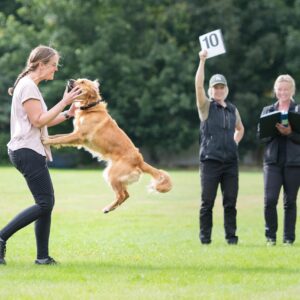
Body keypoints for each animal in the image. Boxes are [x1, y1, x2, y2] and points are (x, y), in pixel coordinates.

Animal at [43, 78, 172, 212]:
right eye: (77, 80)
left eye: (82, 82)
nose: (70, 80)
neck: (89, 108)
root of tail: (140, 161)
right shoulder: (75, 134)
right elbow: (57, 136)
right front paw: (47, 137)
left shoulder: (78, 136)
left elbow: (59, 139)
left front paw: (45, 141)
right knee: (126, 194)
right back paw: (111, 208)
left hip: (111, 174)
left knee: (122, 195)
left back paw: (108, 208)